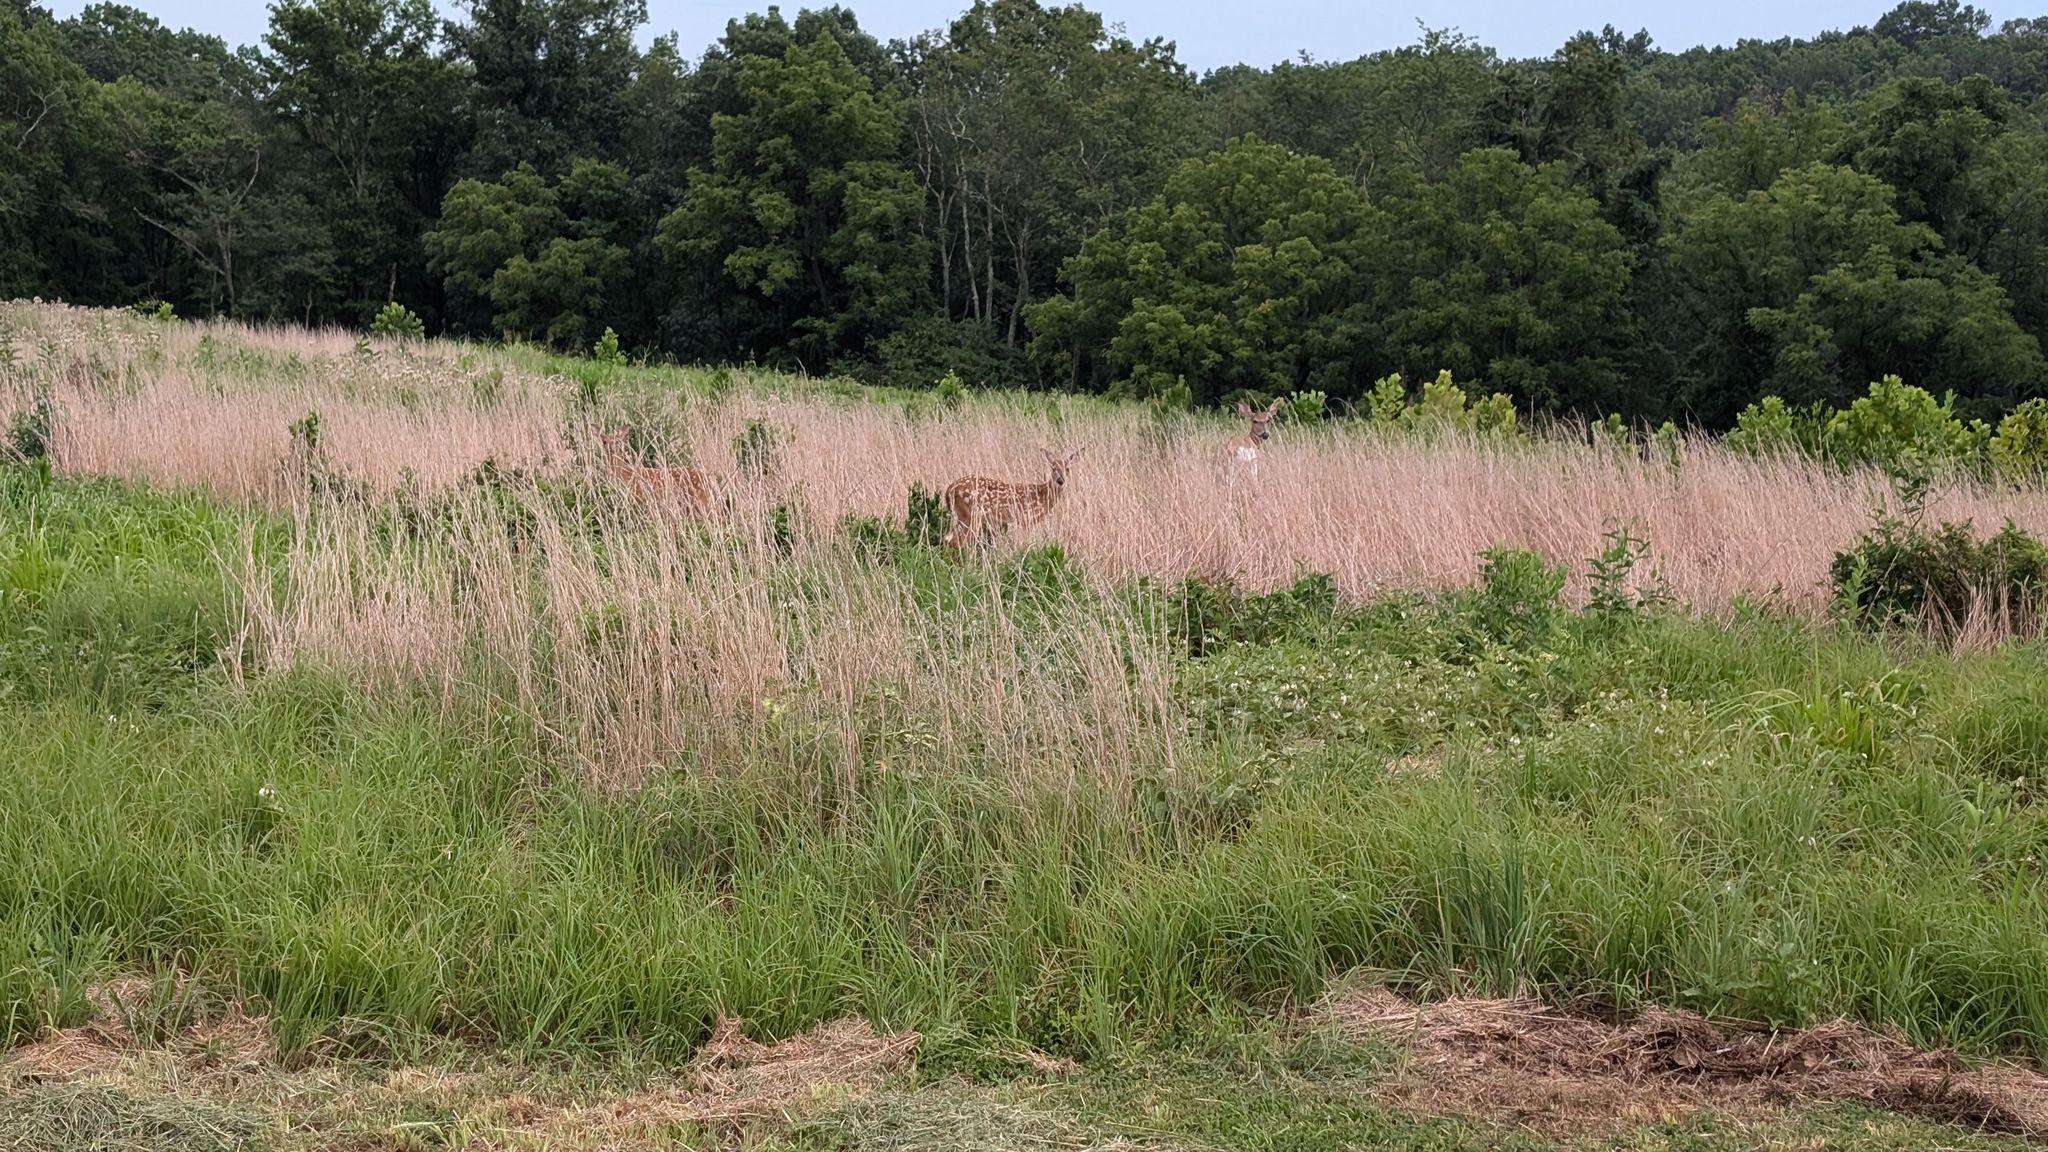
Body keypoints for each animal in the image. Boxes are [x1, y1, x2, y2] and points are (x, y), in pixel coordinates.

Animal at [940, 447, 1083, 549]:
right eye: (1053, 468)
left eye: (1068, 469)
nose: (1060, 481)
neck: (1041, 495)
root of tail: (949, 490)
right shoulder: (1026, 518)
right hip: (971, 514)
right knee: (957, 541)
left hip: (962, 516)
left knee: (947, 538)